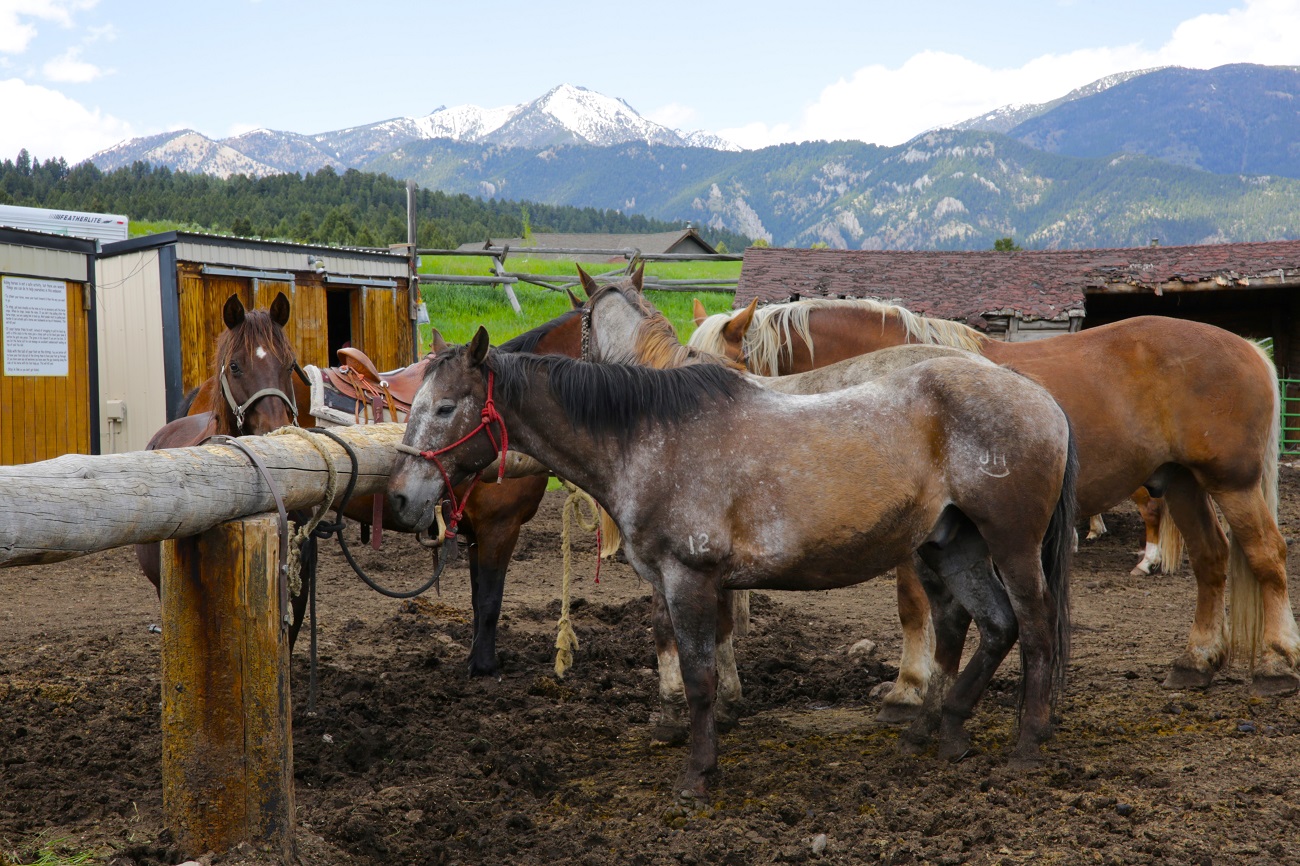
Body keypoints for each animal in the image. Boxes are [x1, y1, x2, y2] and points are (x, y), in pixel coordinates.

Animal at [387, 328, 1079, 796]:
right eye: (413, 405)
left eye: (446, 407)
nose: (400, 499)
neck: (647, 438)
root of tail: (1039, 395)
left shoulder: (689, 579)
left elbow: (699, 678)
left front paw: (698, 772)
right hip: (953, 545)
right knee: (993, 627)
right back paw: (944, 733)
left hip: (1011, 545)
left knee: (1035, 629)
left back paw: (1026, 743)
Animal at [690, 297, 1299, 699]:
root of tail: (1248, 347)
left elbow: (912, 606)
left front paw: (910, 687)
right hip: (1181, 481)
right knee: (1212, 560)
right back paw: (1197, 661)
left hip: (1231, 483)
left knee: (1267, 557)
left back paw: (1275, 663)